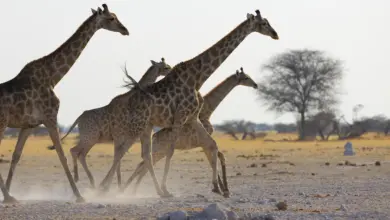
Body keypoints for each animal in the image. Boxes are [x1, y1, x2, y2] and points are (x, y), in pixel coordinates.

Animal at [0, 3, 129, 203]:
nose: (125, 30)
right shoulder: (50, 118)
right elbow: (61, 155)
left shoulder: (29, 125)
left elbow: (16, 155)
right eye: (111, 18)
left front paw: (8, 195)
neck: (53, 77)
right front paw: (79, 195)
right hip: (2, 123)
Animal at [46, 57, 171, 188]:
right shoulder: (119, 135)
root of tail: (78, 119)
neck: (132, 98)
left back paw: (90, 181)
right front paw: (113, 185)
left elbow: (119, 158)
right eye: (165, 67)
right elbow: (118, 157)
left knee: (80, 153)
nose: (171, 70)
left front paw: (116, 185)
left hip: (90, 138)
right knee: (75, 151)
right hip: (90, 137)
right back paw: (81, 179)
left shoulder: (121, 137)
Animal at [120, 67, 258, 198]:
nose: (255, 85)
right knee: (142, 165)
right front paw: (222, 189)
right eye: (246, 77)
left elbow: (218, 157)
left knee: (143, 165)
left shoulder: (204, 142)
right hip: (159, 150)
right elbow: (214, 158)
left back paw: (133, 191)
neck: (208, 110)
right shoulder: (203, 142)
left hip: (159, 151)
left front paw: (223, 189)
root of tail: (154, 137)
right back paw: (129, 190)